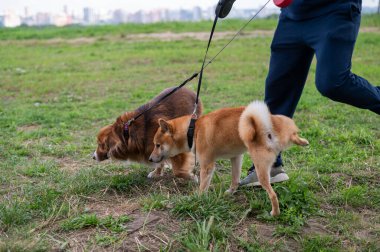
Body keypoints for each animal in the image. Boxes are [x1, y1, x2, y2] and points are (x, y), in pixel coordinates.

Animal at [148, 101, 308, 216]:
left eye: (157, 145)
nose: (150, 159)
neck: (193, 130)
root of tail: (267, 125)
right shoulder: (236, 157)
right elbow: (235, 179)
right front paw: (231, 192)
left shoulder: (207, 166)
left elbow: (202, 187)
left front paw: (197, 199)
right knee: (293, 135)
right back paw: (303, 141)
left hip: (260, 166)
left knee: (273, 195)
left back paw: (274, 213)